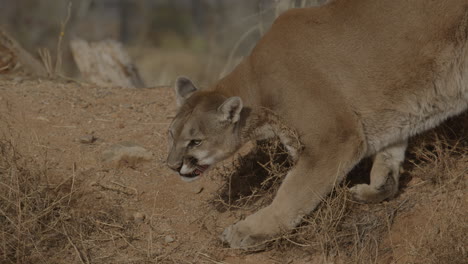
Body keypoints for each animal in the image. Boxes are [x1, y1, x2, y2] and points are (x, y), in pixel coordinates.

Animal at [166, 0, 466, 249]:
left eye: (195, 141)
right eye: (171, 135)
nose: (172, 166)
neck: (257, 88)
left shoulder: (335, 138)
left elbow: (292, 192)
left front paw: (247, 232)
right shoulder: (391, 112)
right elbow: (389, 155)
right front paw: (376, 189)